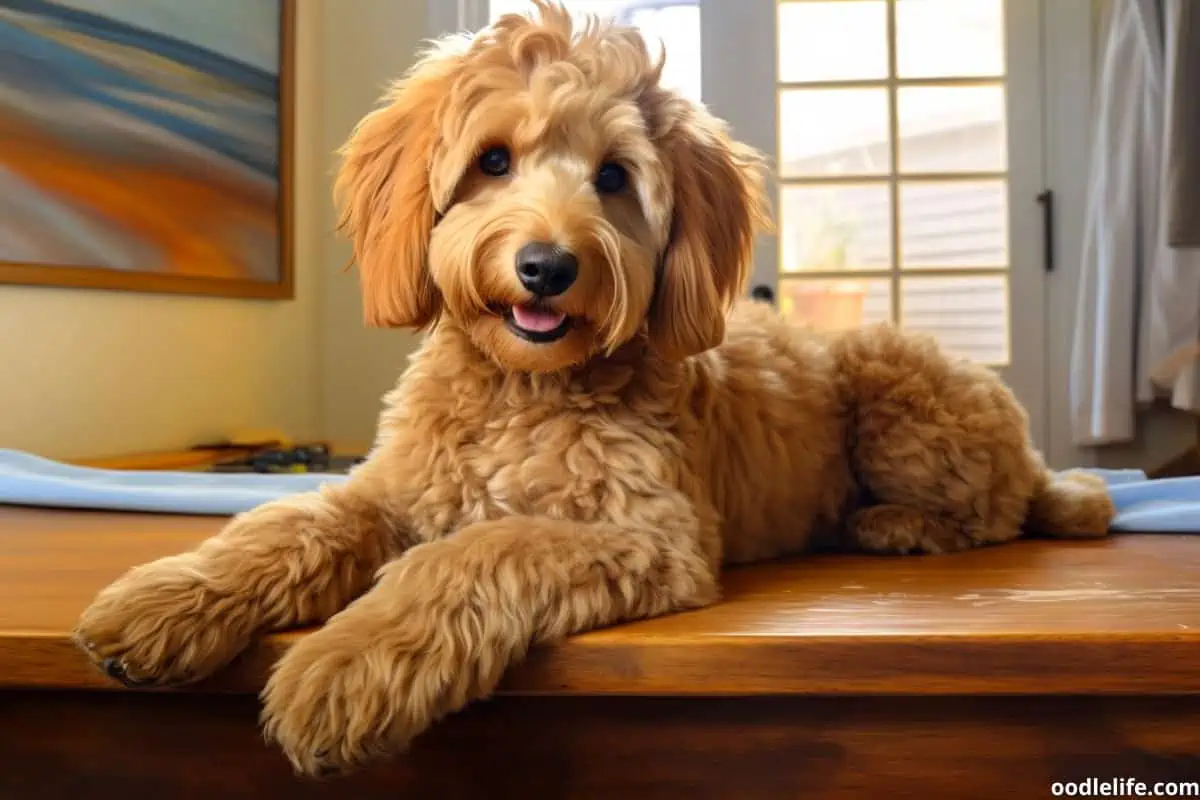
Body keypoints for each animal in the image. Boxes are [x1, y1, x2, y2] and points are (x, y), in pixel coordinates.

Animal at [72, 0, 1113, 777]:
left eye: (614, 177)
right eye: (492, 160)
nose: (547, 267)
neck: (522, 392)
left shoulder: (647, 532)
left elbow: (475, 550)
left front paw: (345, 663)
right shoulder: (393, 490)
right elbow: (292, 524)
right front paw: (169, 597)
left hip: (902, 399)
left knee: (996, 510)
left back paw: (892, 523)